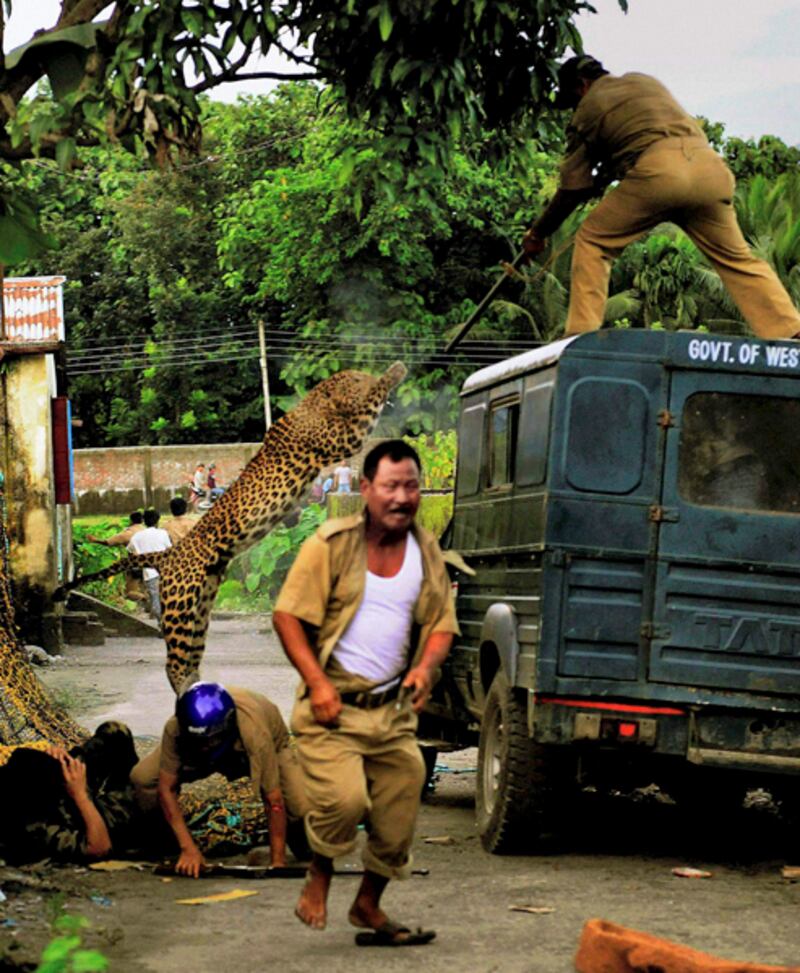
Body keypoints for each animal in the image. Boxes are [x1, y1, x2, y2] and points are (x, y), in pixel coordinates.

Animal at [57, 362, 407, 692]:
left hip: (200, 609)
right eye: (357, 379)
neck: (317, 405)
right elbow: (371, 403)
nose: (367, 375)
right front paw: (394, 371)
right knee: (172, 662)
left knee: (189, 657)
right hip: (180, 608)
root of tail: (168, 554)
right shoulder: (344, 437)